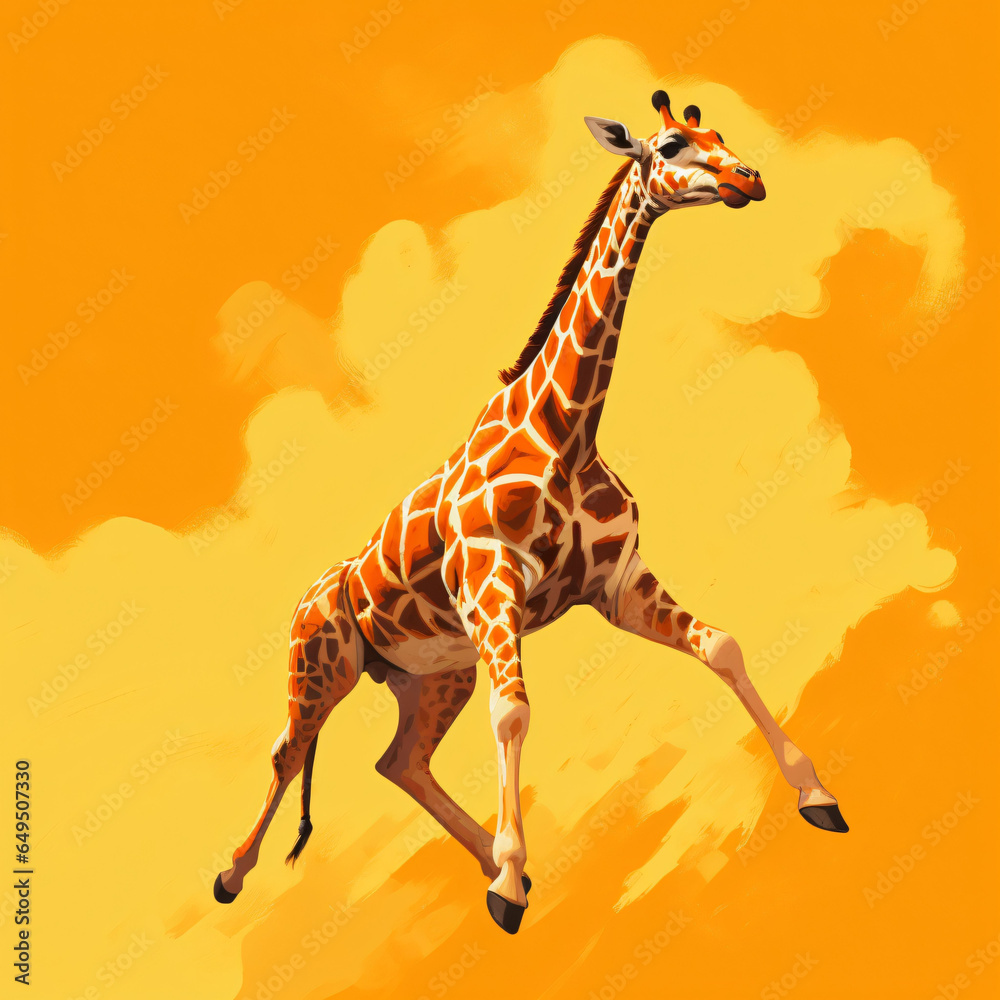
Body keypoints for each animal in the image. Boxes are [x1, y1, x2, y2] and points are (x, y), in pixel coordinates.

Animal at [213, 90, 848, 935]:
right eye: (672, 145)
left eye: (719, 133)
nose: (748, 178)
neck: (565, 432)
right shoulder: (494, 585)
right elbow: (513, 713)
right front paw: (511, 888)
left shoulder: (617, 581)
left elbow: (722, 646)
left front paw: (817, 794)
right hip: (322, 663)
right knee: (289, 751)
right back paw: (232, 873)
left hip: (433, 672)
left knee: (400, 759)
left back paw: (488, 858)